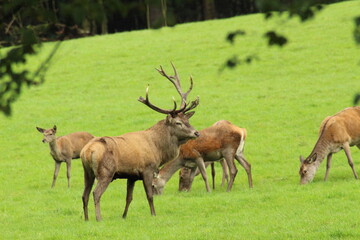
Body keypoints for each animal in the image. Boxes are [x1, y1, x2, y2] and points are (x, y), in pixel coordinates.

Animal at [80, 63, 201, 221]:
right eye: (178, 123)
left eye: (188, 120)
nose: (196, 133)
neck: (158, 149)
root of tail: (87, 151)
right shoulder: (147, 169)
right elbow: (149, 195)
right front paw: (154, 214)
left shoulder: (131, 175)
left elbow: (129, 198)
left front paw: (124, 216)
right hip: (106, 171)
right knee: (96, 193)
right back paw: (99, 218)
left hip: (87, 172)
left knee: (84, 195)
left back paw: (87, 219)